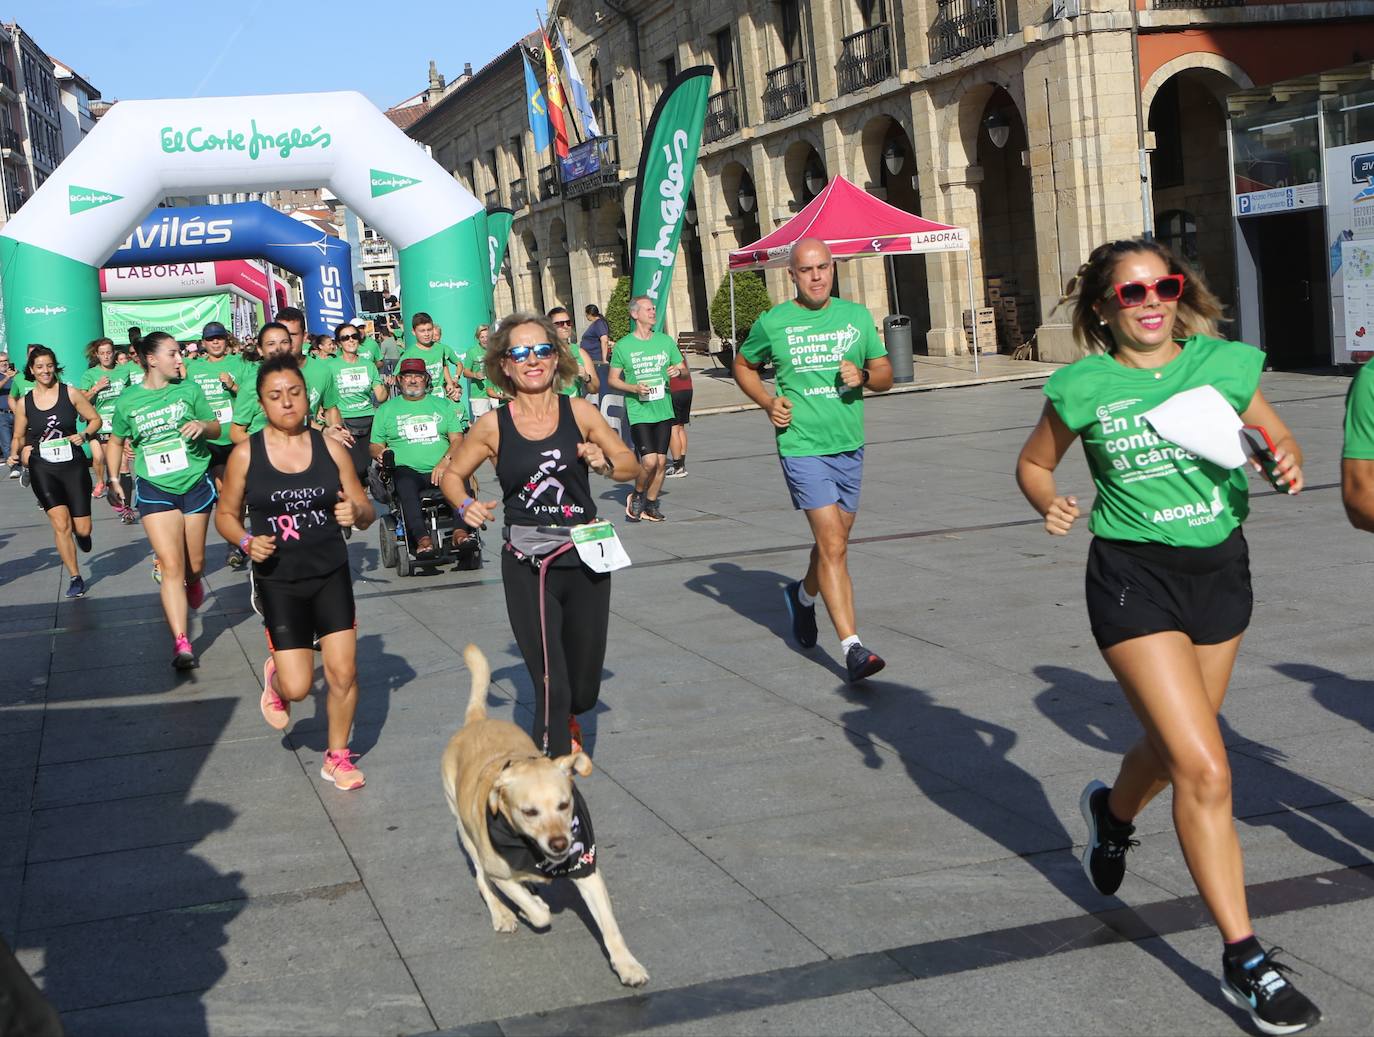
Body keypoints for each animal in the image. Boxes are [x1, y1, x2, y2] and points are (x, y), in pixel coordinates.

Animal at [442, 640, 651, 988]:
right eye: (529, 812)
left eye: (564, 805)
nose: (559, 844)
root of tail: (476, 720)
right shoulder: (499, 869)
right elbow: (534, 908)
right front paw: (531, 907)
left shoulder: (587, 869)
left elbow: (610, 926)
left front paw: (627, 965)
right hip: (465, 831)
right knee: (483, 881)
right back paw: (503, 913)